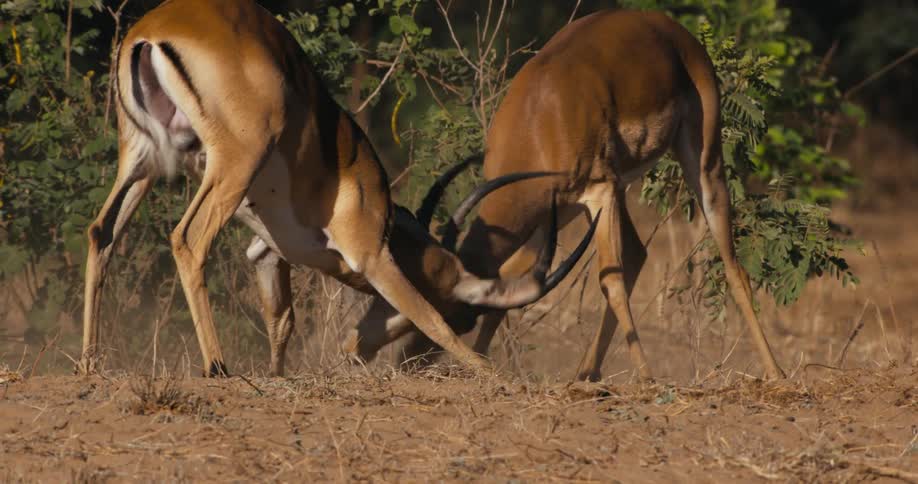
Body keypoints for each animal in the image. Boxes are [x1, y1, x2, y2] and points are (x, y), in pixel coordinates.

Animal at [80, 0, 596, 377]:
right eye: (462, 314)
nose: (356, 348)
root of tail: (153, 30)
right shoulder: (369, 253)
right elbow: (427, 315)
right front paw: (490, 372)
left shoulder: (266, 251)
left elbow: (281, 319)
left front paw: (277, 375)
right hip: (232, 162)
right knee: (188, 239)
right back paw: (218, 367)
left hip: (142, 157)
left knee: (102, 232)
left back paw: (90, 363)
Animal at [343, 9, 787, 381]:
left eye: (455, 313)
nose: (406, 361)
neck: (540, 120)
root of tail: (672, 29)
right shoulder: (551, 210)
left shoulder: (598, 192)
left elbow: (610, 280)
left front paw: (648, 378)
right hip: (593, 200)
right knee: (638, 253)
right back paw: (585, 374)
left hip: (700, 163)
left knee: (732, 265)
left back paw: (775, 374)